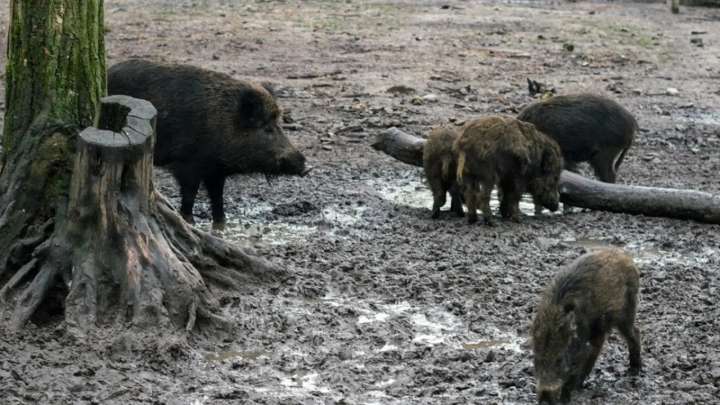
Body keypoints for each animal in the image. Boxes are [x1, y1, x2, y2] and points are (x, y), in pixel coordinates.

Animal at [108, 59, 308, 229]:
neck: (225, 123)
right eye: (267, 128)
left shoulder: (215, 171)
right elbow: (190, 194)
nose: (307, 167)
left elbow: (217, 197)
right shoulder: (188, 165)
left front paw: (220, 225)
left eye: (278, 124)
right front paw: (189, 221)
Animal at [531, 248, 641, 404]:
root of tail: (626, 256)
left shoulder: (581, 348)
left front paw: (566, 398)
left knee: (634, 333)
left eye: (559, 360)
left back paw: (634, 369)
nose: (545, 399)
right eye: (536, 359)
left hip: (626, 312)